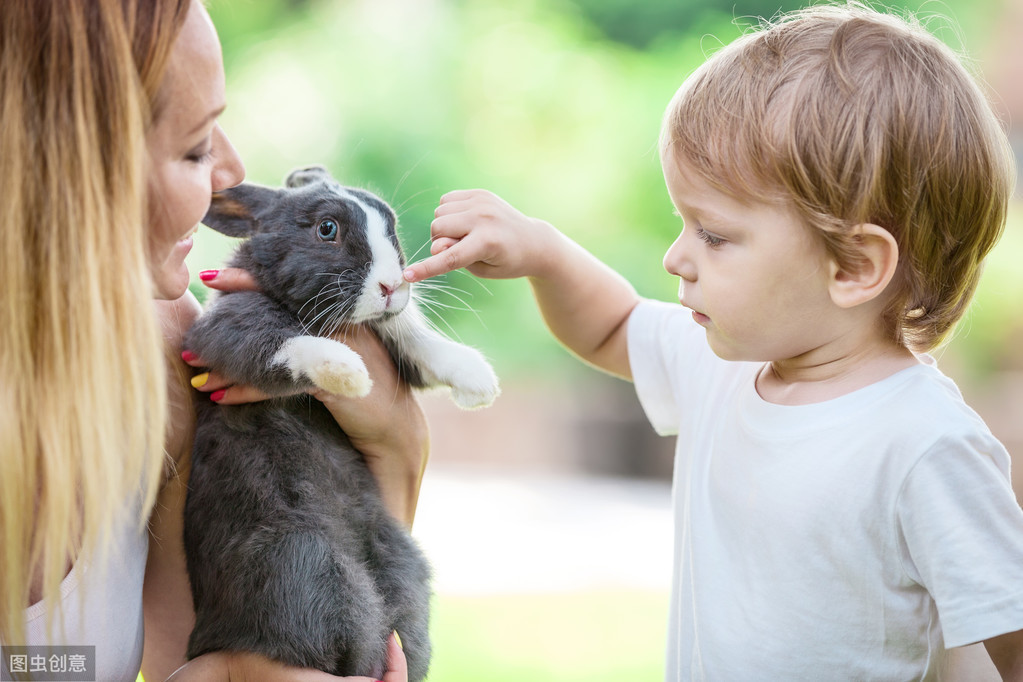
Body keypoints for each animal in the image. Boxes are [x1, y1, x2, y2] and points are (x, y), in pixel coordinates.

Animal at [185, 166, 503, 682]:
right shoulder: (223, 330)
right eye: (327, 229)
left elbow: (411, 336)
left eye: (390, 224)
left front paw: (478, 382)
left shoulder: (395, 342)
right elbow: (283, 342)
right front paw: (351, 374)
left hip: (400, 564)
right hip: (303, 561)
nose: (392, 286)